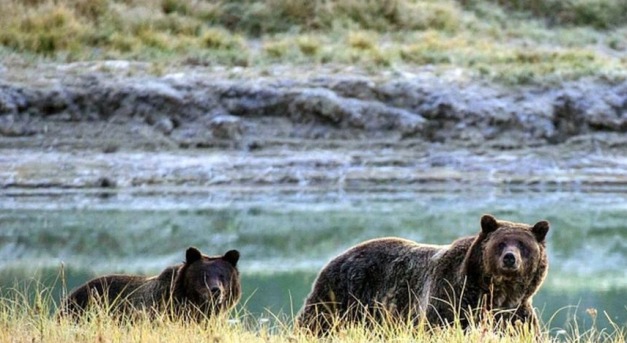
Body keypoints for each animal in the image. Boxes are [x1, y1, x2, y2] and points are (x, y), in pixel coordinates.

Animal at [296, 215, 548, 336]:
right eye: (501, 243)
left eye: (523, 245)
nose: (510, 258)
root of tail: (337, 256)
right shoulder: (451, 298)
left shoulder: (515, 313)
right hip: (341, 294)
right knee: (316, 322)